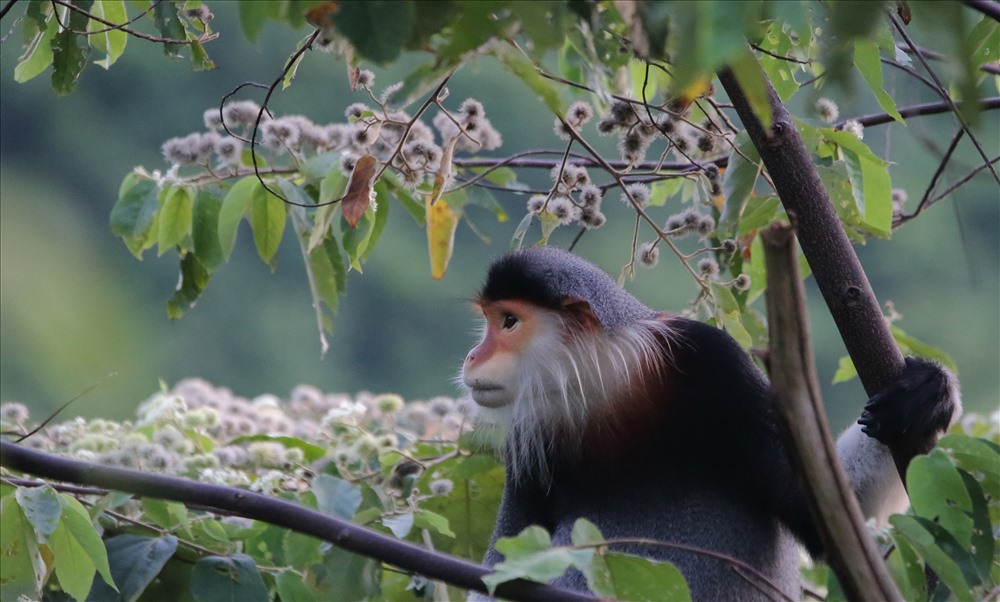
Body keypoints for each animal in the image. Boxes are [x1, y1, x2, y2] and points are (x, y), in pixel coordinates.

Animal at [460, 245, 960, 600]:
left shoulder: (716, 360)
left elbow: (824, 520)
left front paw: (925, 395)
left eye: (508, 322)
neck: (612, 387)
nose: (473, 355)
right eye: (491, 320)